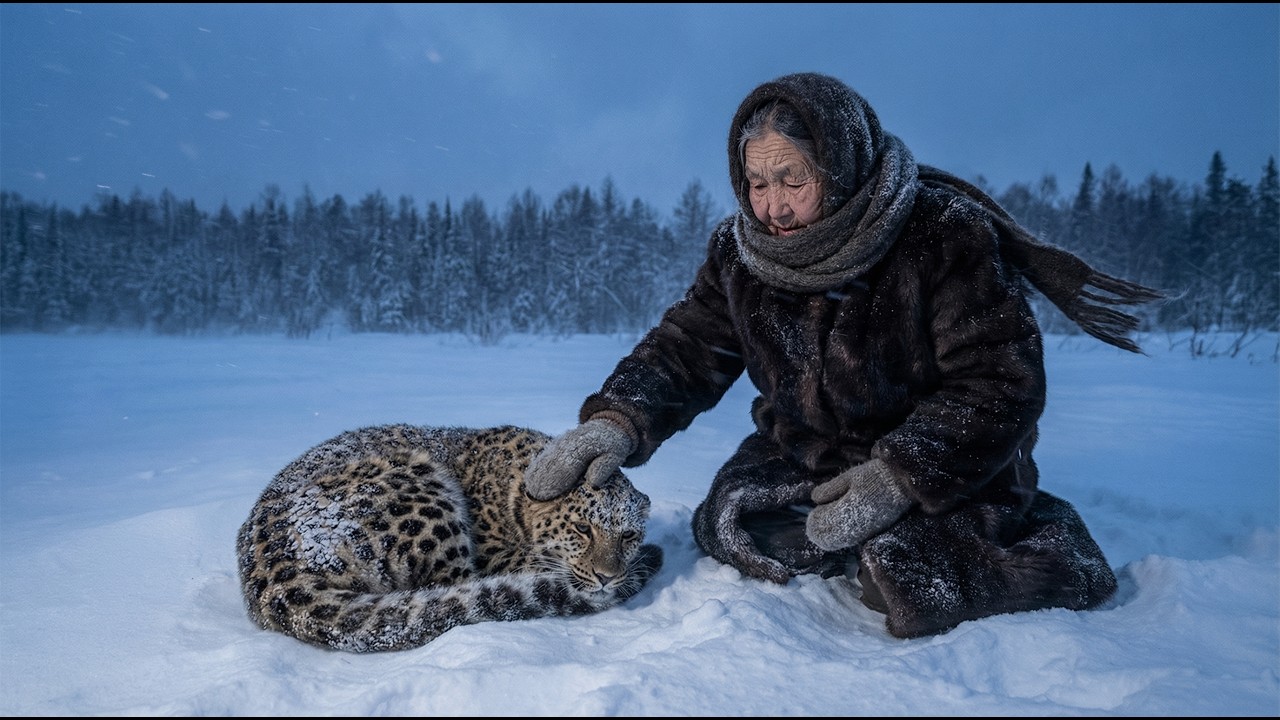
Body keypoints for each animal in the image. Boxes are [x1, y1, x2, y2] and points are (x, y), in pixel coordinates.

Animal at [235, 423, 662, 653]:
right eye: (582, 529)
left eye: (627, 535)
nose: (608, 576)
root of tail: (272, 576)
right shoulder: (497, 554)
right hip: (420, 488)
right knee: (460, 590)